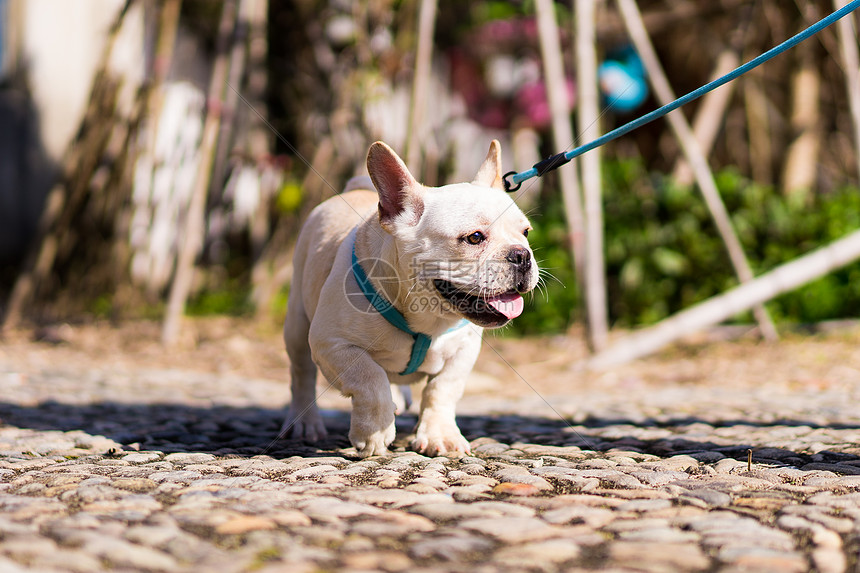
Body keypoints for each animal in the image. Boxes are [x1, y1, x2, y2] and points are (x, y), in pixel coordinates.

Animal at [282, 142, 536, 456]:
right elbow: (369, 378)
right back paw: (305, 424)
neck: (429, 319)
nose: (521, 255)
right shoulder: (332, 344)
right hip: (297, 324)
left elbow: (443, 389)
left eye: (526, 232)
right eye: (475, 238)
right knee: (302, 374)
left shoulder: (463, 351)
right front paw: (374, 432)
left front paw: (440, 435)